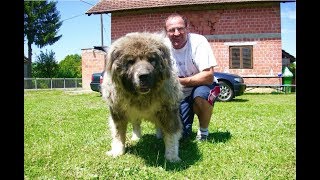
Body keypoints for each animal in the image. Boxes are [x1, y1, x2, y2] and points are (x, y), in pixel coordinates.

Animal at [101, 31, 184, 162]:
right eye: (130, 61)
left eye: (151, 59)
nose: (144, 76)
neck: (141, 97)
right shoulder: (117, 112)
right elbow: (118, 134)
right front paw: (118, 151)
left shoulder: (168, 112)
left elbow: (171, 134)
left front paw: (171, 156)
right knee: (136, 123)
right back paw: (136, 137)